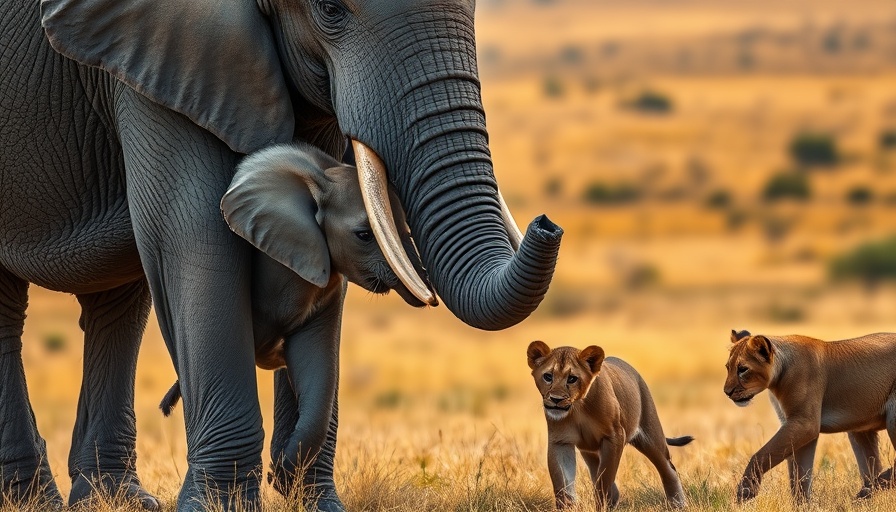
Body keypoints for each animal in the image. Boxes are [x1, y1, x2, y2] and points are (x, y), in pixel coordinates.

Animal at [157, 141, 431, 510]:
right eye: (363, 235)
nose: (430, 298)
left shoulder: (326, 285)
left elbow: (315, 368)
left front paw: (282, 476)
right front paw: (280, 477)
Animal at [527, 341, 693, 509]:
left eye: (572, 379)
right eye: (548, 376)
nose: (556, 399)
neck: (578, 407)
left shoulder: (614, 436)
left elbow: (604, 478)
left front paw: (602, 506)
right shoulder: (560, 441)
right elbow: (562, 484)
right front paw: (567, 508)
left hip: (651, 437)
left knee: (669, 469)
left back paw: (678, 504)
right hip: (589, 450)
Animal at [725, 329, 896, 503]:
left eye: (743, 369)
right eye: (728, 367)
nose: (727, 392)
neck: (778, 379)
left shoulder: (805, 424)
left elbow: (761, 456)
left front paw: (745, 491)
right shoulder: (798, 427)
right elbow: (800, 478)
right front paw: (802, 505)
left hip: (892, 418)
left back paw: (866, 491)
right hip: (860, 429)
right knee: (871, 467)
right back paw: (865, 494)